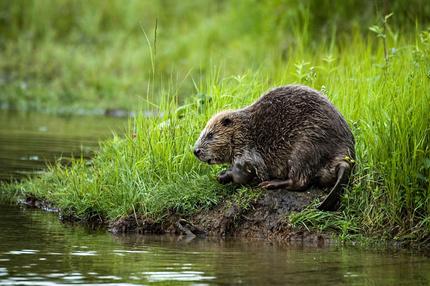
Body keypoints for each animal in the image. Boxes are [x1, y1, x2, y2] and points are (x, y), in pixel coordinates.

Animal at [193, 85, 354, 210]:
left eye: (210, 135)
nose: (195, 151)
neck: (244, 130)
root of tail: (345, 160)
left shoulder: (248, 151)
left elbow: (244, 174)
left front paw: (223, 175)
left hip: (305, 146)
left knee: (299, 181)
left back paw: (270, 184)